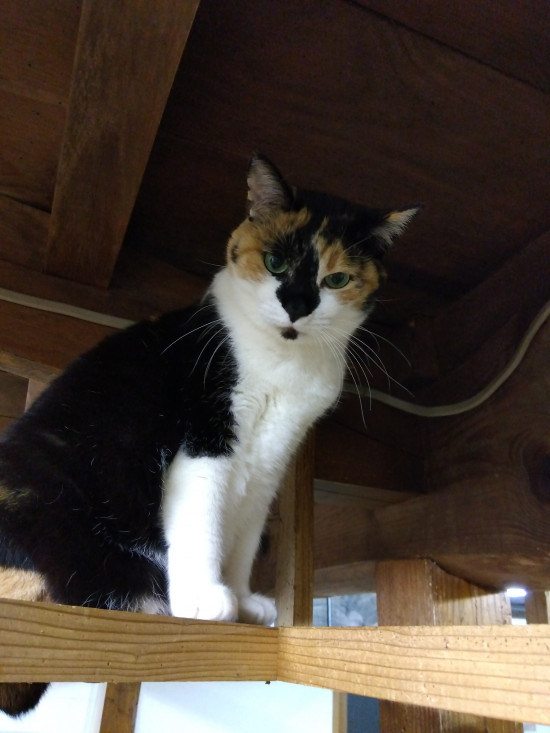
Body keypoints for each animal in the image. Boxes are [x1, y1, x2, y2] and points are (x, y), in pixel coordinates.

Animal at [0, 154, 418, 716]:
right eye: (276, 263)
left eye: (337, 278)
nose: (297, 304)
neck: (282, 363)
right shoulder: (207, 438)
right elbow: (204, 517)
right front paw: (205, 595)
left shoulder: (269, 463)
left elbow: (241, 535)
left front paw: (241, 597)